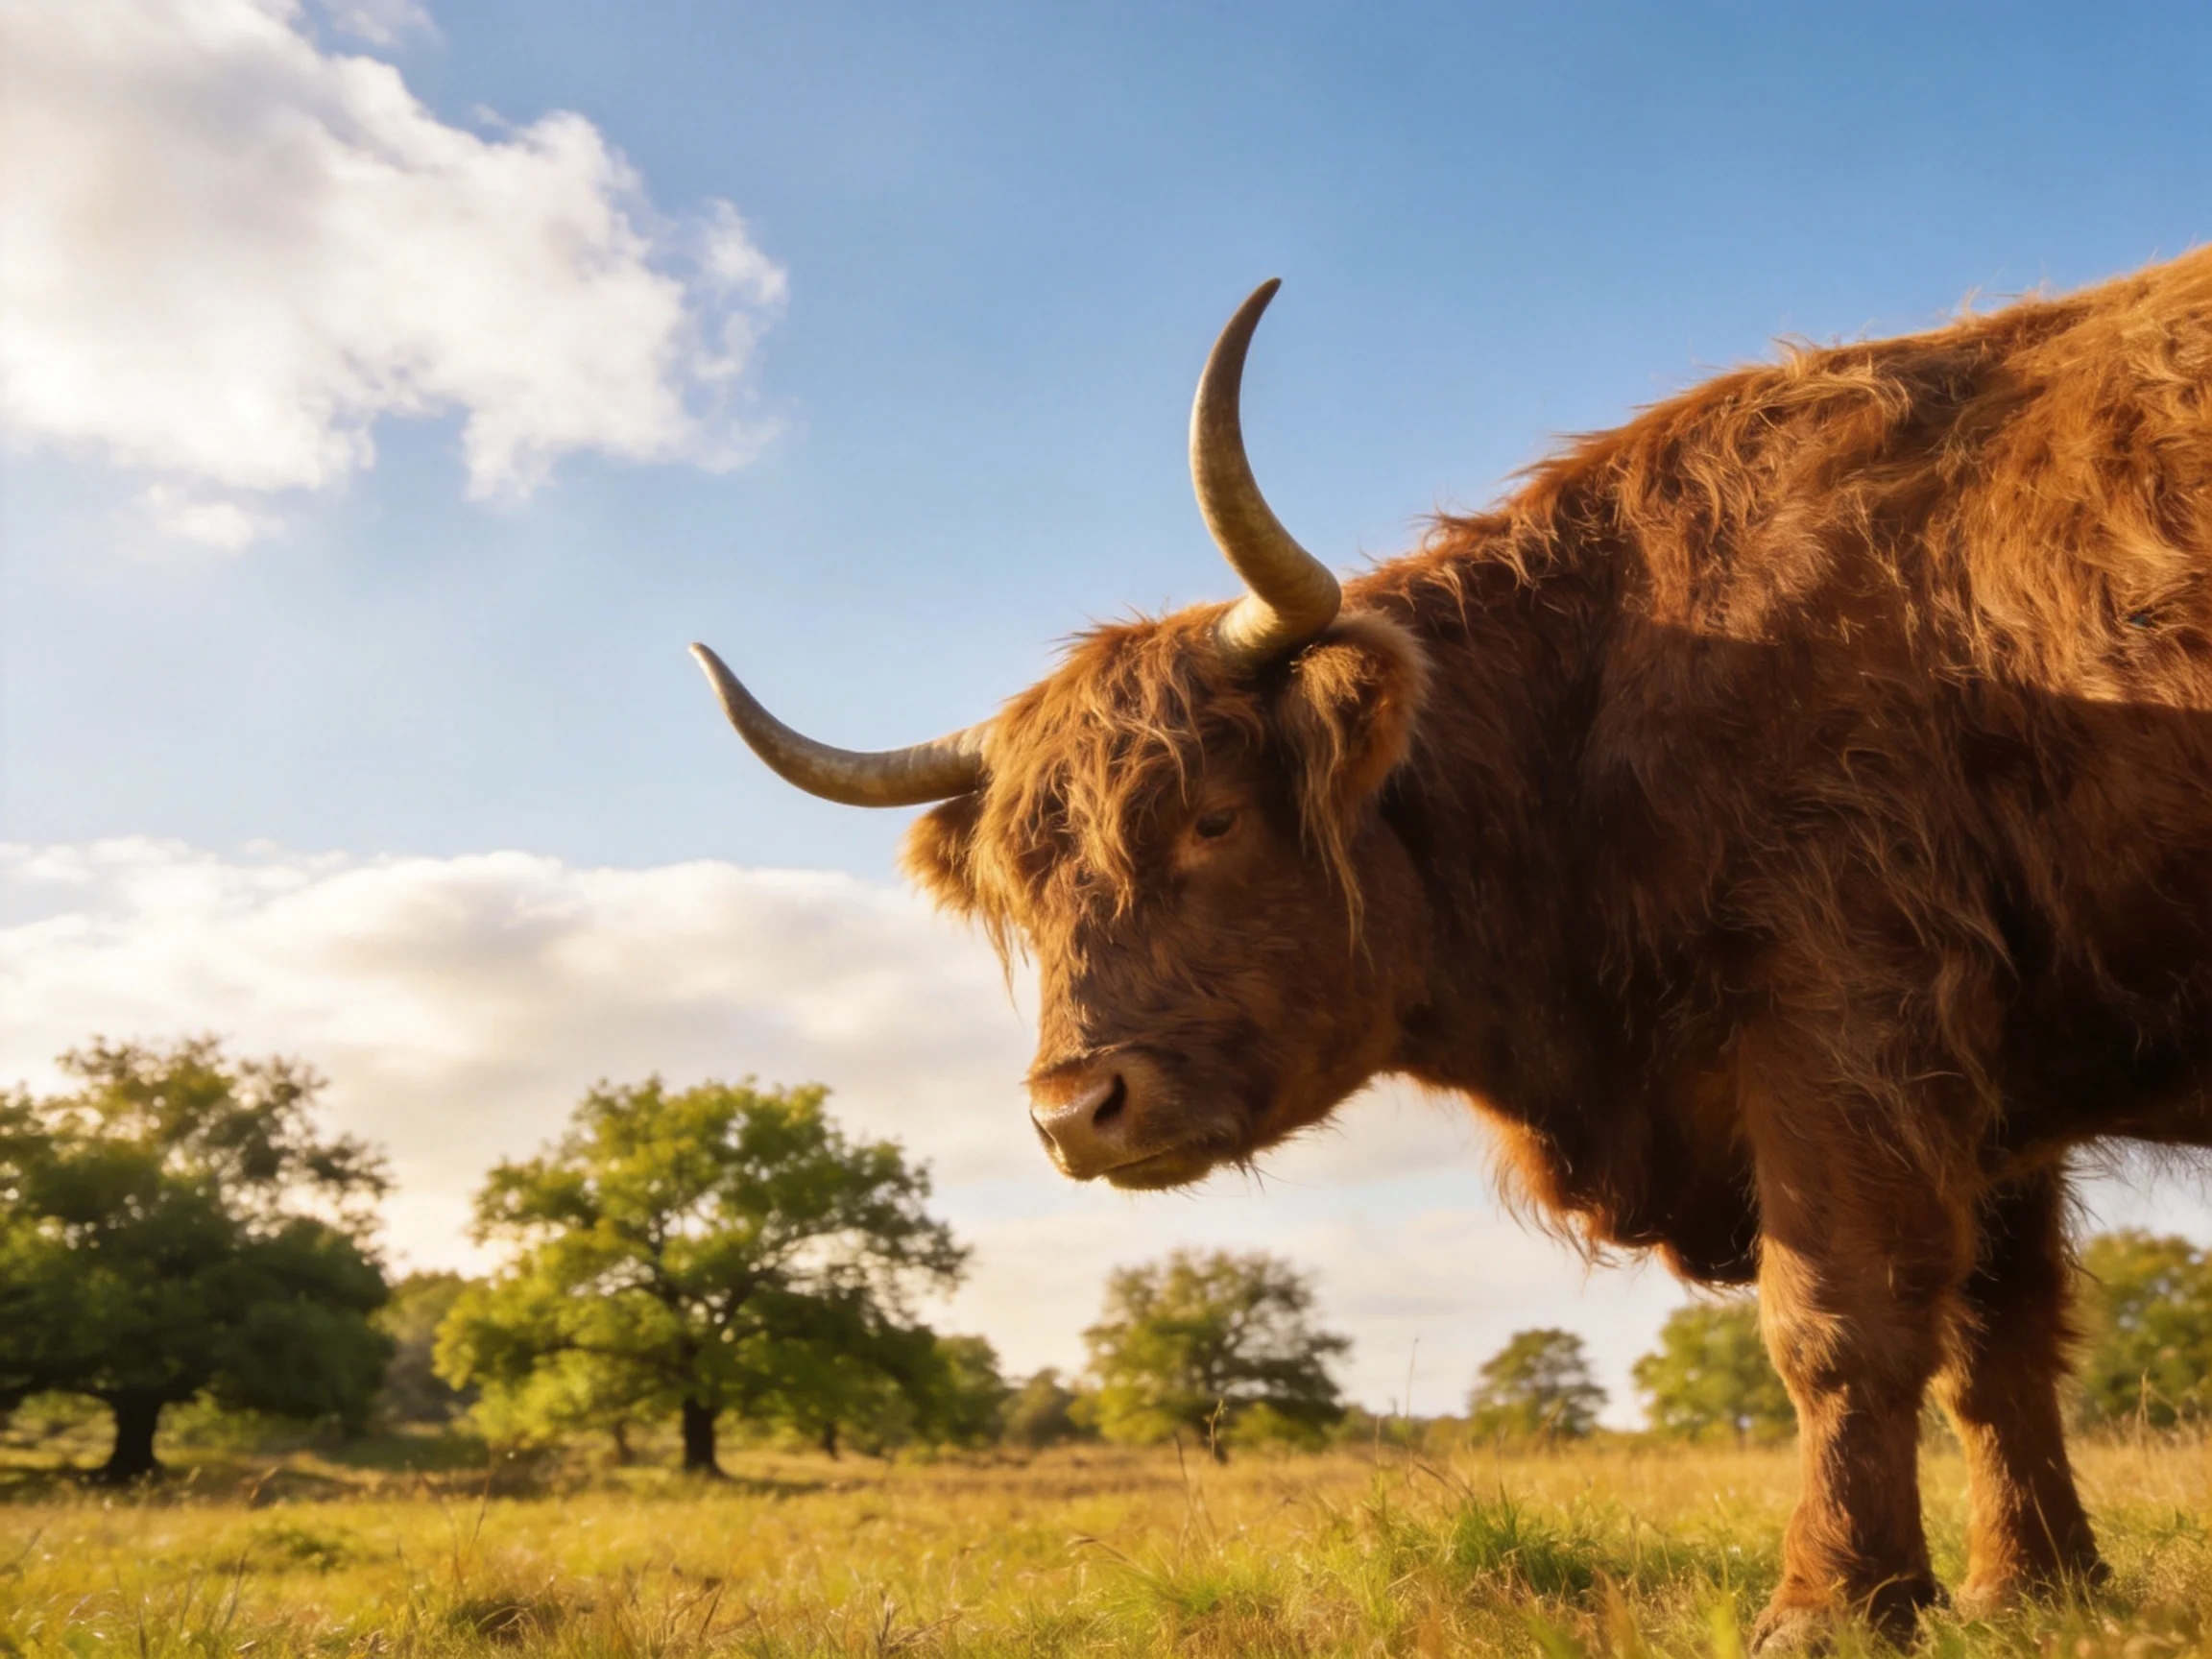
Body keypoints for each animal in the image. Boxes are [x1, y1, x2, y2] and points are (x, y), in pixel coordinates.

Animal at [690, 250, 2212, 1646]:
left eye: (1213, 818)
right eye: (1027, 887)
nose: (1075, 1110)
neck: (1596, 703)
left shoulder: (1851, 1016)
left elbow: (1841, 1321)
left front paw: (1833, 1603)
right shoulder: (1994, 1090)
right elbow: (2000, 1341)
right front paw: (2038, 1587)